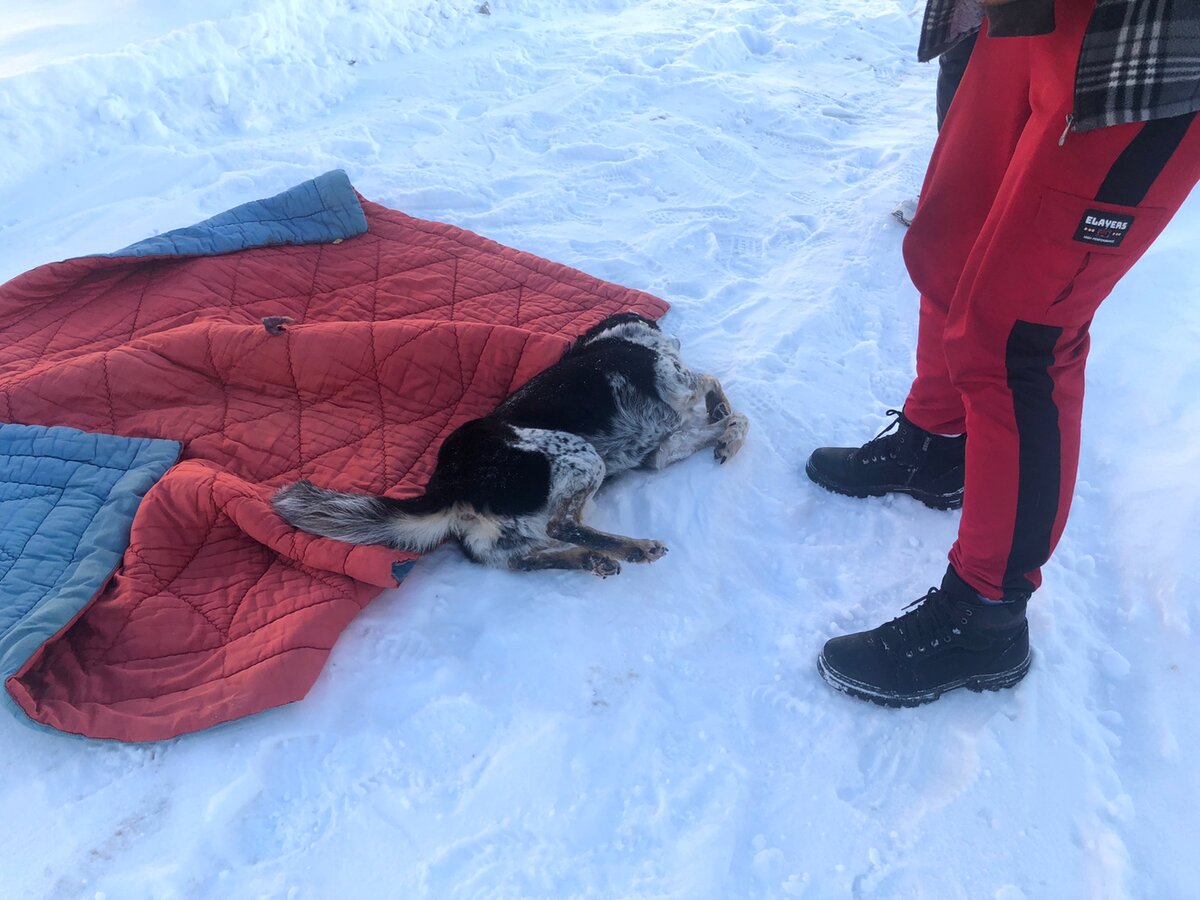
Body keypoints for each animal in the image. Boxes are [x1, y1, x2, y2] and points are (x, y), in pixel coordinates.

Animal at [272, 309, 744, 578]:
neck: (615, 338)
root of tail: (448, 486)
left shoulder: (660, 451)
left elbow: (729, 420)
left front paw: (725, 434)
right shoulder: (673, 379)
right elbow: (712, 383)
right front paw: (722, 414)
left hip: (502, 539)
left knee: (524, 559)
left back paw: (588, 559)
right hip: (579, 455)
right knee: (561, 525)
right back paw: (635, 548)